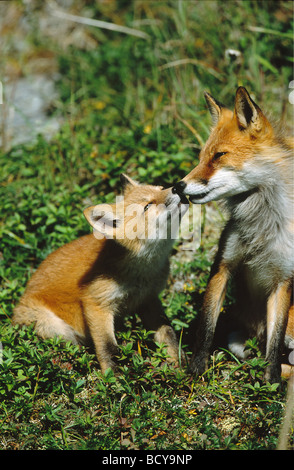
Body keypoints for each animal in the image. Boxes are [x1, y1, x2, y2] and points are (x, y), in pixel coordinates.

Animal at [13, 174, 188, 372]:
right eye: (148, 206)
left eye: (160, 188)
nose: (176, 187)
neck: (141, 273)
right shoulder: (96, 301)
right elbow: (107, 347)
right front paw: (114, 376)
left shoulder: (149, 298)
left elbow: (168, 334)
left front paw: (180, 365)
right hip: (56, 329)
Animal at [173, 87, 294, 382]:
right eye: (201, 157)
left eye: (219, 156)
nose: (178, 186)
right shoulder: (223, 264)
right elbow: (206, 327)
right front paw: (197, 370)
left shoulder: (283, 279)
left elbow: (273, 347)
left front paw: (270, 384)